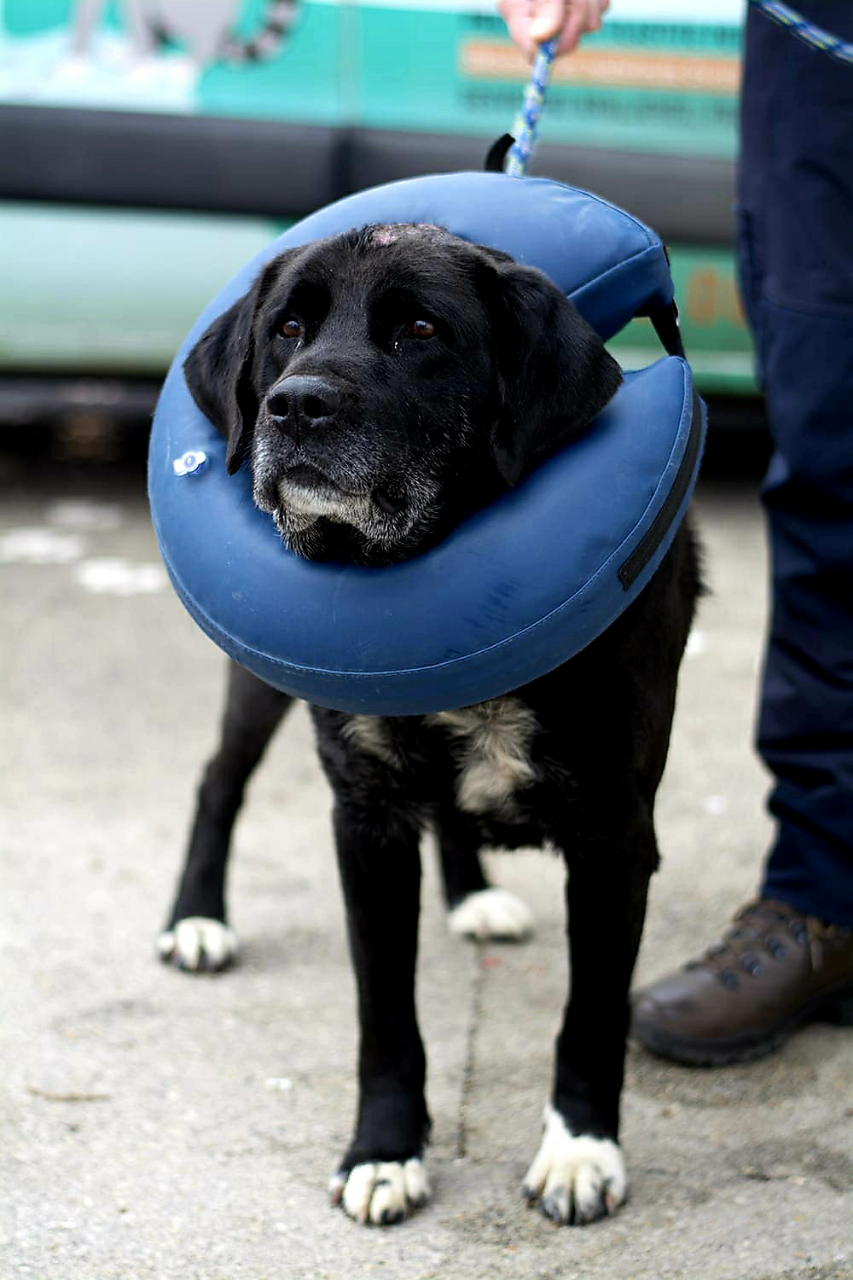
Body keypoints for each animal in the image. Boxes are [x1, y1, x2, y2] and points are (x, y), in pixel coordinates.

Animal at [159, 227, 696, 1228]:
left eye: (419, 330)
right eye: (287, 328)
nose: (294, 405)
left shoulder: (615, 838)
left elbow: (592, 1013)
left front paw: (579, 1150)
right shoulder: (365, 821)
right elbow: (384, 1015)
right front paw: (383, 1151)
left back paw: (469, 894)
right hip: (259, 683)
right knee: (218, 778)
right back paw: (197, 919)